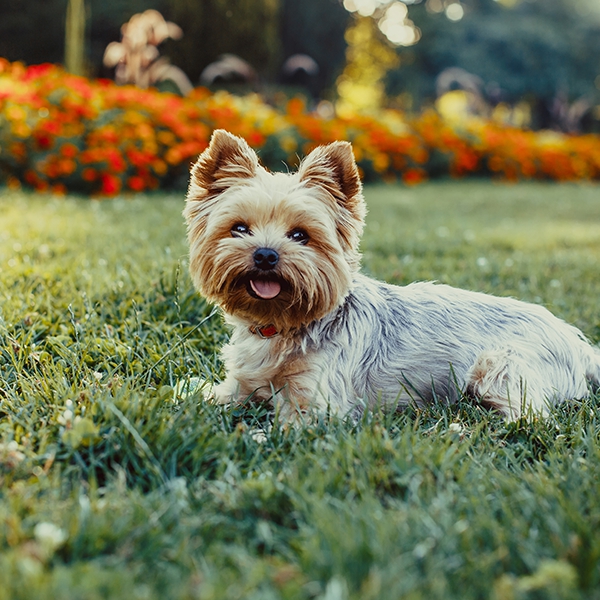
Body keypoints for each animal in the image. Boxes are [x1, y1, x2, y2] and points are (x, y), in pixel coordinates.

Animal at [183, 129, 600, 424]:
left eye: (300, 235)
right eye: (239, 229)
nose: (266, 254)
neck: (282, 324)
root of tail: (580, 344)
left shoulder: (316, 403)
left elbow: (282, 429)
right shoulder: (239, 384)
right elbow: (210, 395)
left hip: (499, 365)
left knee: (531, 416)